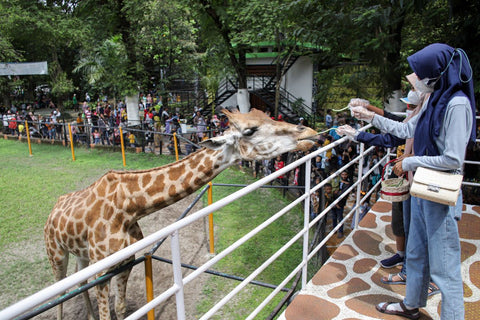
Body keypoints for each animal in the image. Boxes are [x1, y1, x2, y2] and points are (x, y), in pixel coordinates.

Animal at [43, 108, 316, 320]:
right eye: (250, 130)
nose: (310, 134)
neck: (129, 207)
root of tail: (53, 209)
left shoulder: (126, 261)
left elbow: (120, 309)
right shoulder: (103, 269)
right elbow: (105, 313)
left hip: (82, 254)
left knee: (79, 281)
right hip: (56, 253)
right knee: (59, 291)